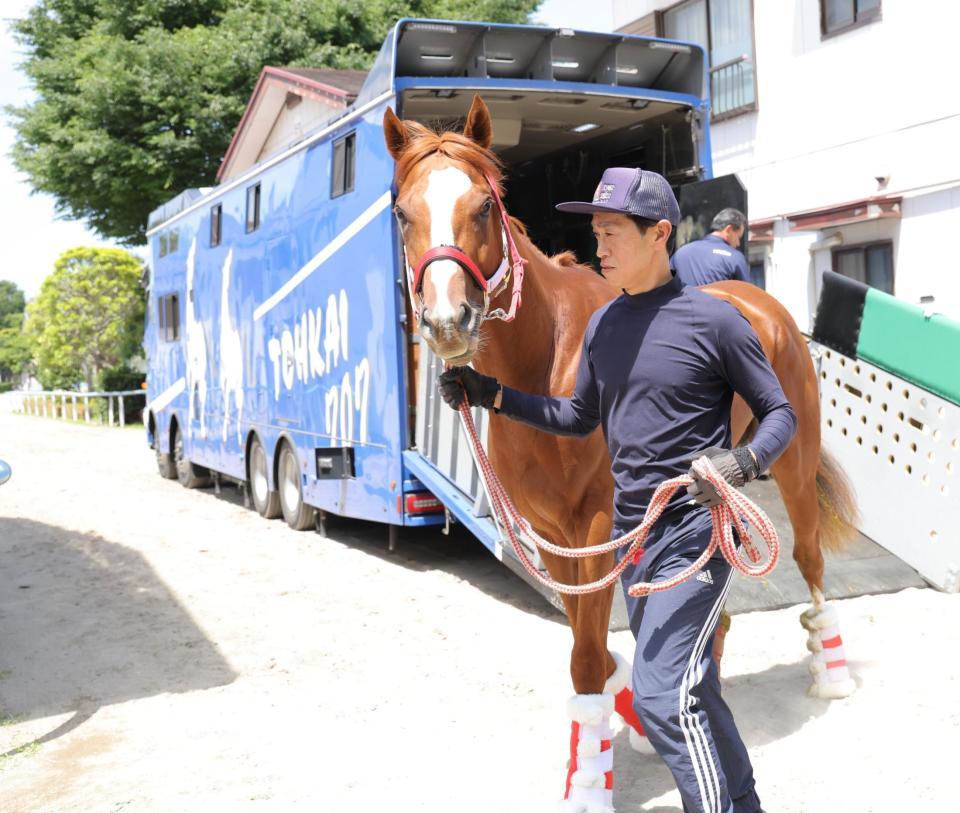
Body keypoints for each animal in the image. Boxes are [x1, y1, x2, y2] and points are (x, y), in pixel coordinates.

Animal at [386, 96, 860, 800]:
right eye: (401, 212)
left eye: (485, 206)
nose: (449, 322)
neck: (549, 355)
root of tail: (761, 303)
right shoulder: (551, 536)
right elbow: (597, 653)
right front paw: (622, 727)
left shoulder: (596, 526)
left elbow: (587, 658)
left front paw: (589, 780)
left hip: (794, 467)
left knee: (808, 559)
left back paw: (831, 673)